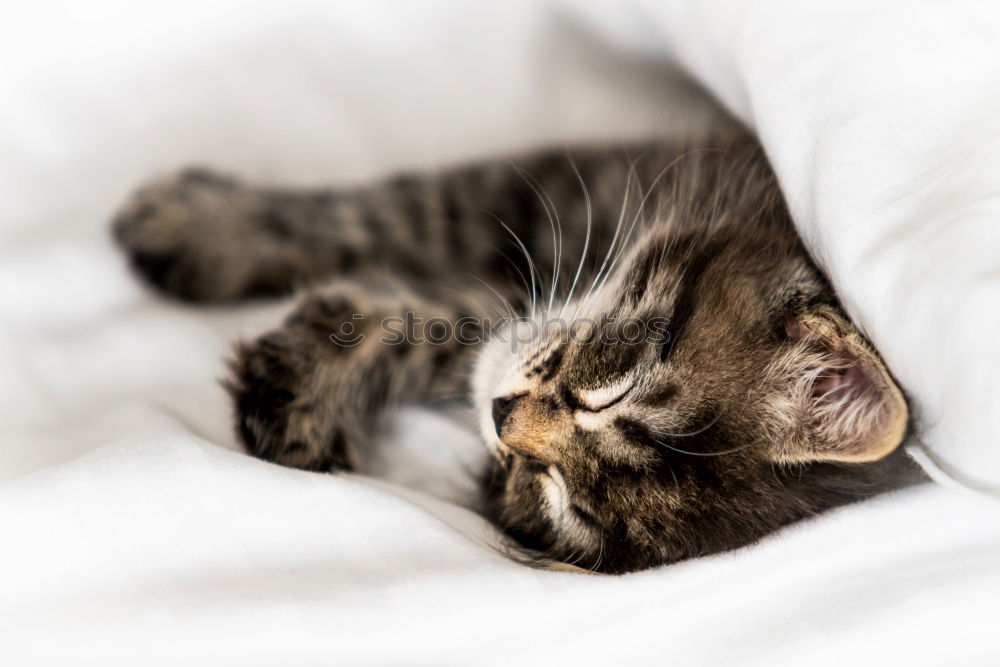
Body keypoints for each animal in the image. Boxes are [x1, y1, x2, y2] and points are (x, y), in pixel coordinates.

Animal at [109, 129, 920, 576]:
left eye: (559, 497)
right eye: (609, 391)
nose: (503, 422)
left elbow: (449, 317)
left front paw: (305, 387)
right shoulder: (556, 186)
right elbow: (404, 211)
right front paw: (201, 226)